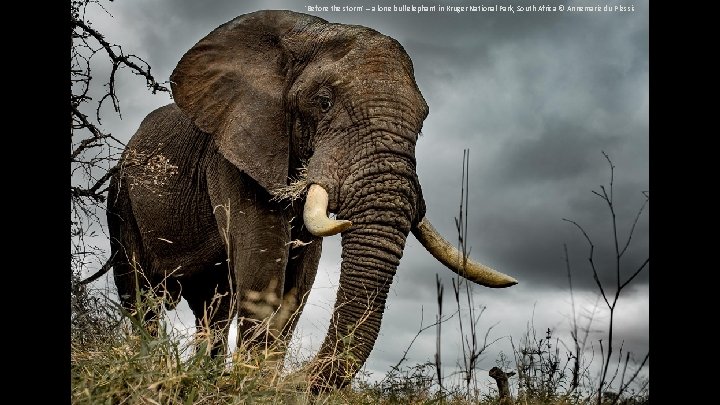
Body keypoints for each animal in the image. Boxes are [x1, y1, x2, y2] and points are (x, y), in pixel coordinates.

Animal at [105, 7, 516, 390]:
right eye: (323, 102)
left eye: (424, 119)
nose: (296, 381)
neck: (309, 32)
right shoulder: (233, 153)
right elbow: (262, 267)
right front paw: (251, 386)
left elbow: (300, 279)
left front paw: (258, 384)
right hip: (120, 203)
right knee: (140, 298)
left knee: (214, 307)